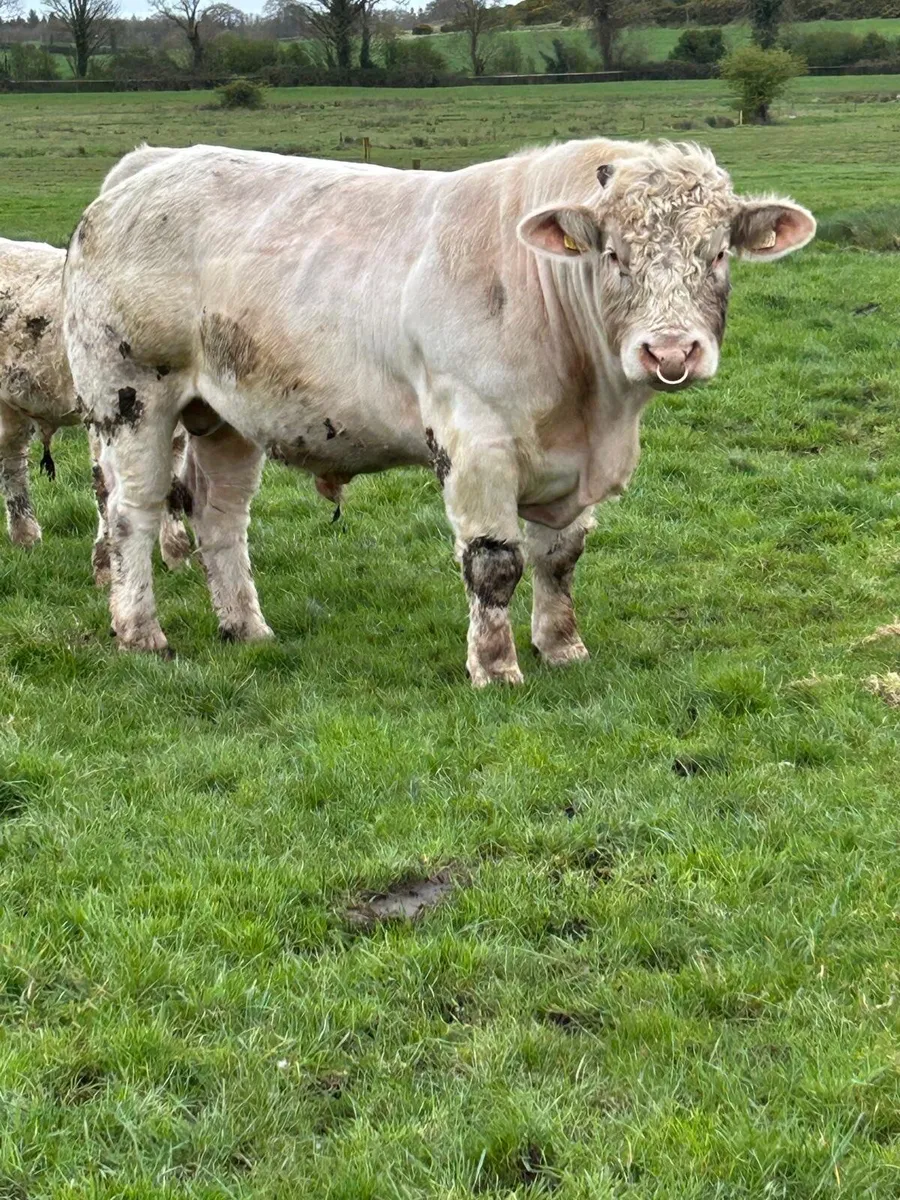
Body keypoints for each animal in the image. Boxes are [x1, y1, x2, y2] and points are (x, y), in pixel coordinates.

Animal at [63, 138, 815, 683]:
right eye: (613, 254)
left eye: (716, 253)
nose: (670, 350)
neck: (594, 407)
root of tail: (151, 163)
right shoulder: (474, 438)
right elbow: (495, 563)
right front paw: (496, 667)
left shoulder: (568, 464)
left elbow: (560, 557)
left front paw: (561, 647)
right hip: (131, 397)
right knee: (132, 512)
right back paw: (141, 633)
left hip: (224, 414)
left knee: (219, 515)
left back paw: (246, 629)